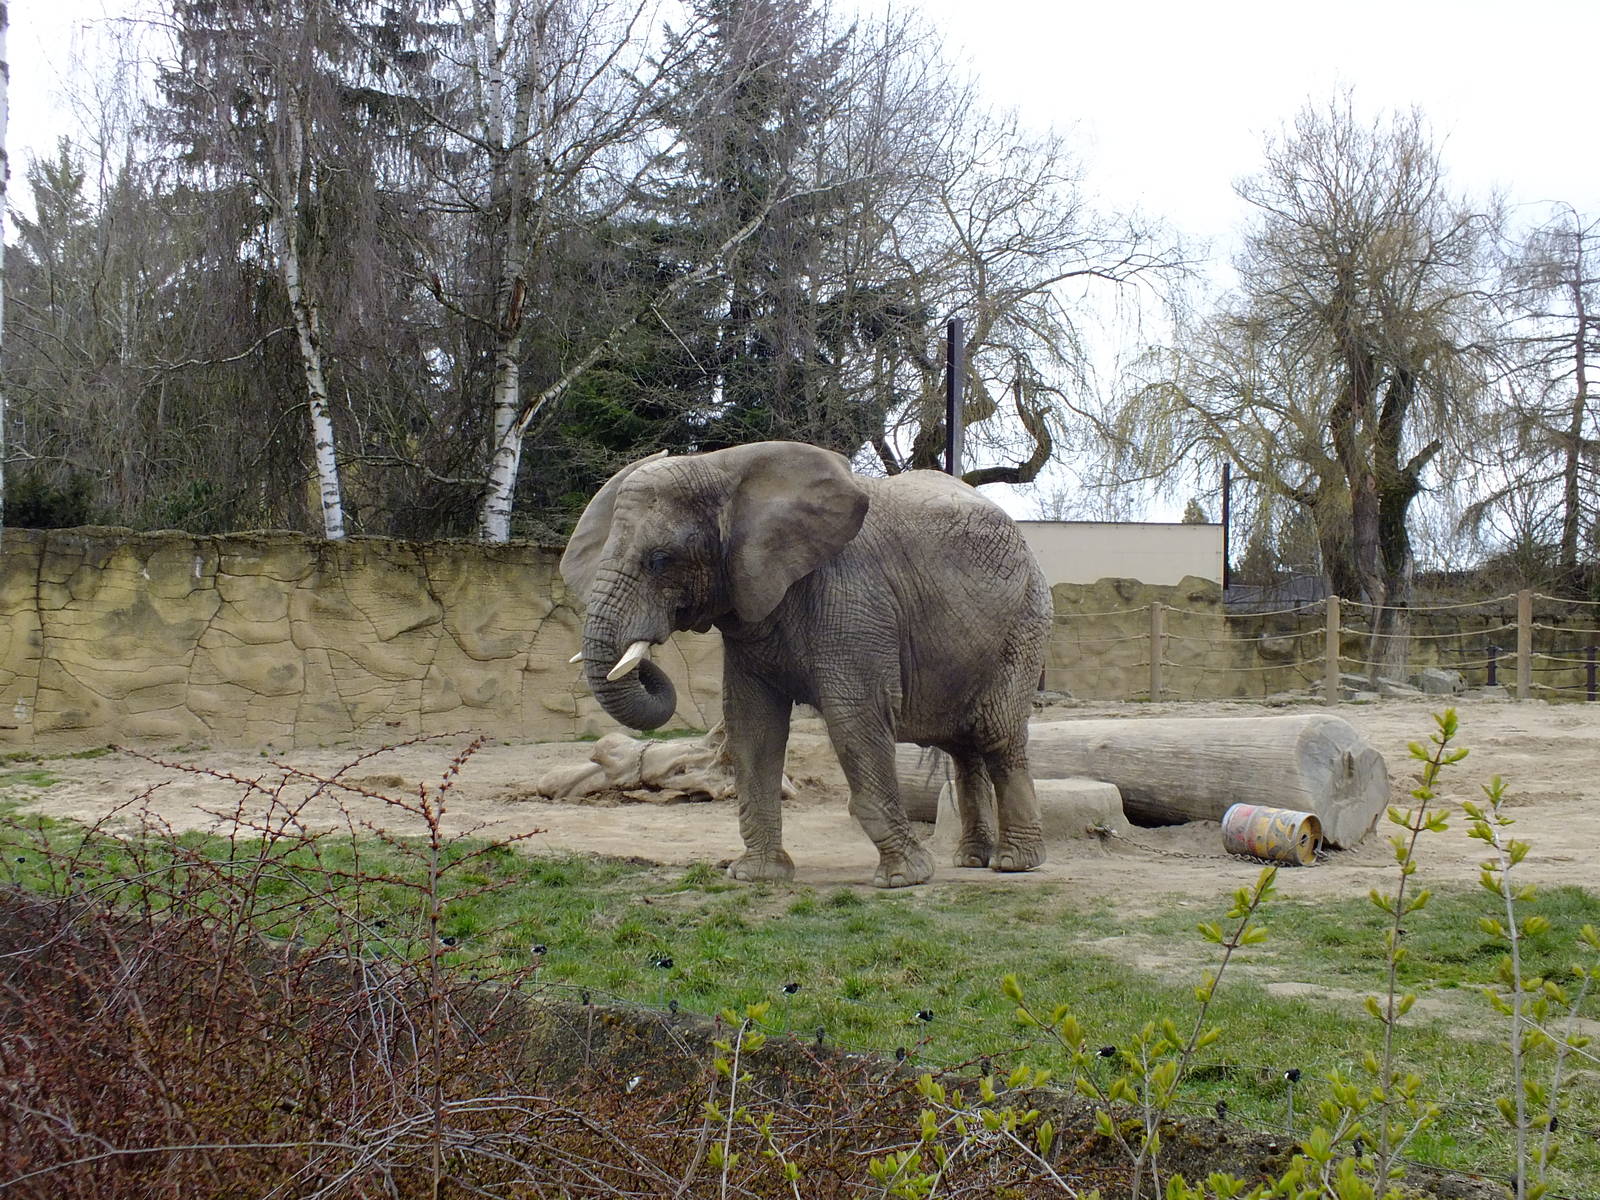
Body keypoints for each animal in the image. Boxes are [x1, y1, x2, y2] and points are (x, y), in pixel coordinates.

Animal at [559, 440, 1052, 888]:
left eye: (660, 561)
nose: (645, 661)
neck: (722, 466)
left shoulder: (853, 598)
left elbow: (855, 719)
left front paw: (903, 879)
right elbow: (752, 723)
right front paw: (757, 877)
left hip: (1025, 619)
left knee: (996, 733)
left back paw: (1014, 864)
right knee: (963, 747)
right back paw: (971, 860)